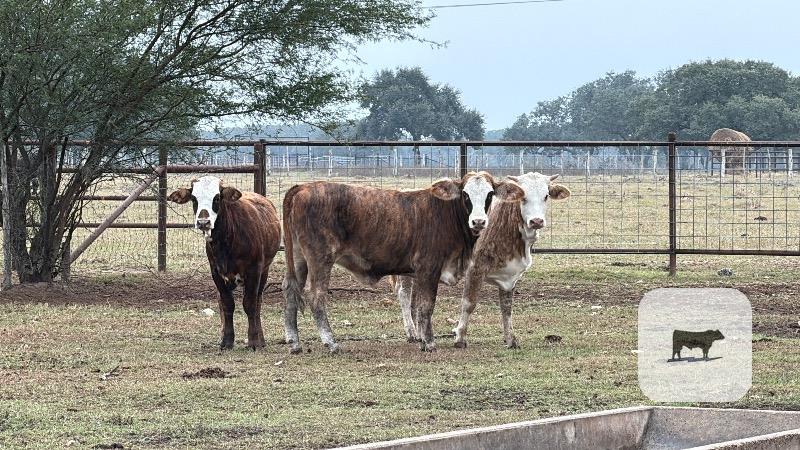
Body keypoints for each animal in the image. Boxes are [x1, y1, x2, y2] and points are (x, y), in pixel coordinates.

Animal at [168, 176, 281, 350]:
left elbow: (250, 304)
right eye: (194, 198)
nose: (203, 222)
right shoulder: (216, 273)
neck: (226, 242)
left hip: (264, 272)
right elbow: (227, 304)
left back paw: (260, 339)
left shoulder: (254, 271)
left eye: (217, 198)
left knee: (258, 302)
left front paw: (253, 341)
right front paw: (227, 340)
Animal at [281, 172, 524, 353]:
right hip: (320, 259)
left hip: (299, 259)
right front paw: (428, 341)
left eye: (490, 194)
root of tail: (303, 188)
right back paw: (330, 342)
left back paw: (294, 343)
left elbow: (418, 306)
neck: (445, 213)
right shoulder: (429, 267)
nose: (479, 221)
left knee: (290, 291)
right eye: (465, 194)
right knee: (316, 297)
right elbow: (426, 306)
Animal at [450, 172, 570, 349]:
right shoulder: (475, 268)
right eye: (523, 197)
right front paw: (460, 338)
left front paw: (511, 339)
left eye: (546, 196)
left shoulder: (510, 277)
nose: (536, 221)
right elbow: (469, 303)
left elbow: (506, 307)